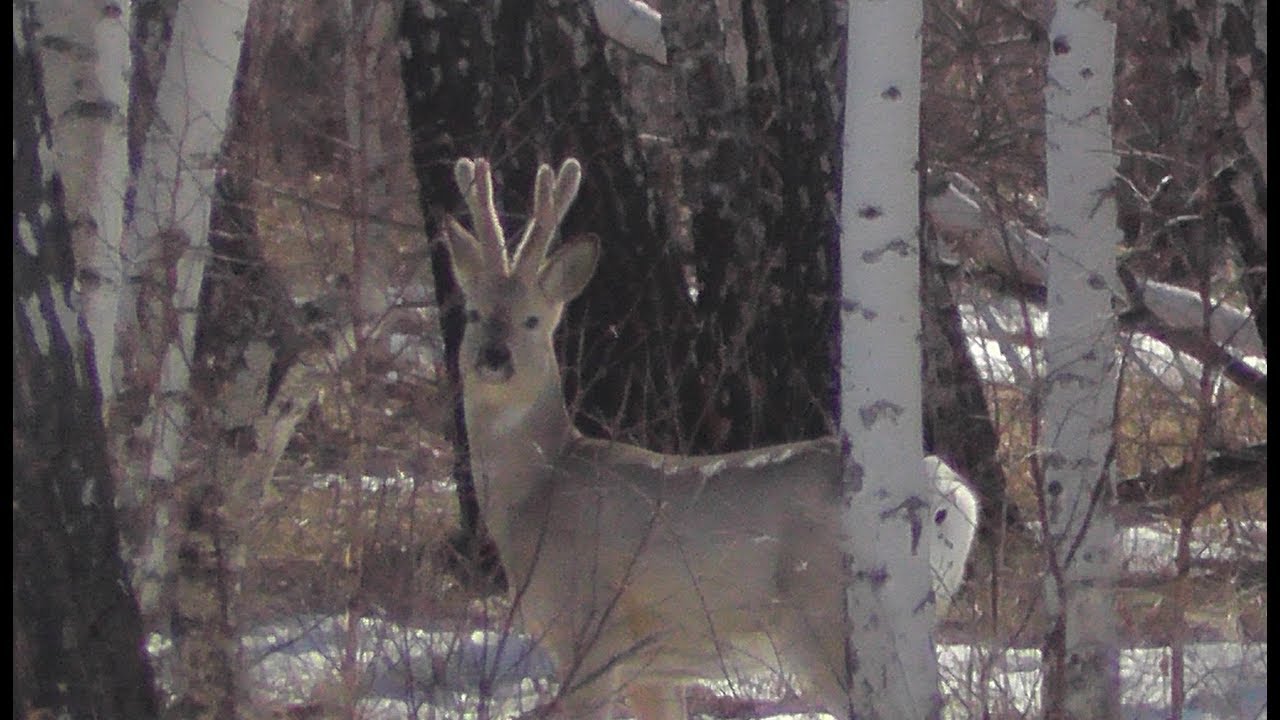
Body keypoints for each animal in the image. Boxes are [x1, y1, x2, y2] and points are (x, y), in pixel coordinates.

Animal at [442, 154, 977, 712]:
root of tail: (947, 492)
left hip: (828, 619)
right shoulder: (650, 669)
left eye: (532, 320)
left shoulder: (588, 636)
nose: (494, 357)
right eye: (474, 313)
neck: (535, 492)